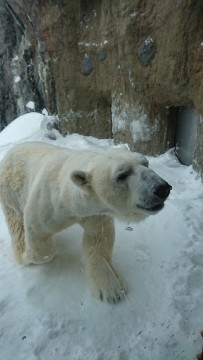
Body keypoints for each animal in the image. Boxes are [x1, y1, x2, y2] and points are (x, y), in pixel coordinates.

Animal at [0, 142, 172, 302]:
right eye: (122, 175)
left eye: (146, 163)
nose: (162, 188)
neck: (69, 202)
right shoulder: (47, 205)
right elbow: (37, 233)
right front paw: (28, 257)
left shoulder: (95, 213)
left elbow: (99, 241)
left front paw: (112, 288)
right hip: (11, 190)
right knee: (16, 223)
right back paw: (20, 252)